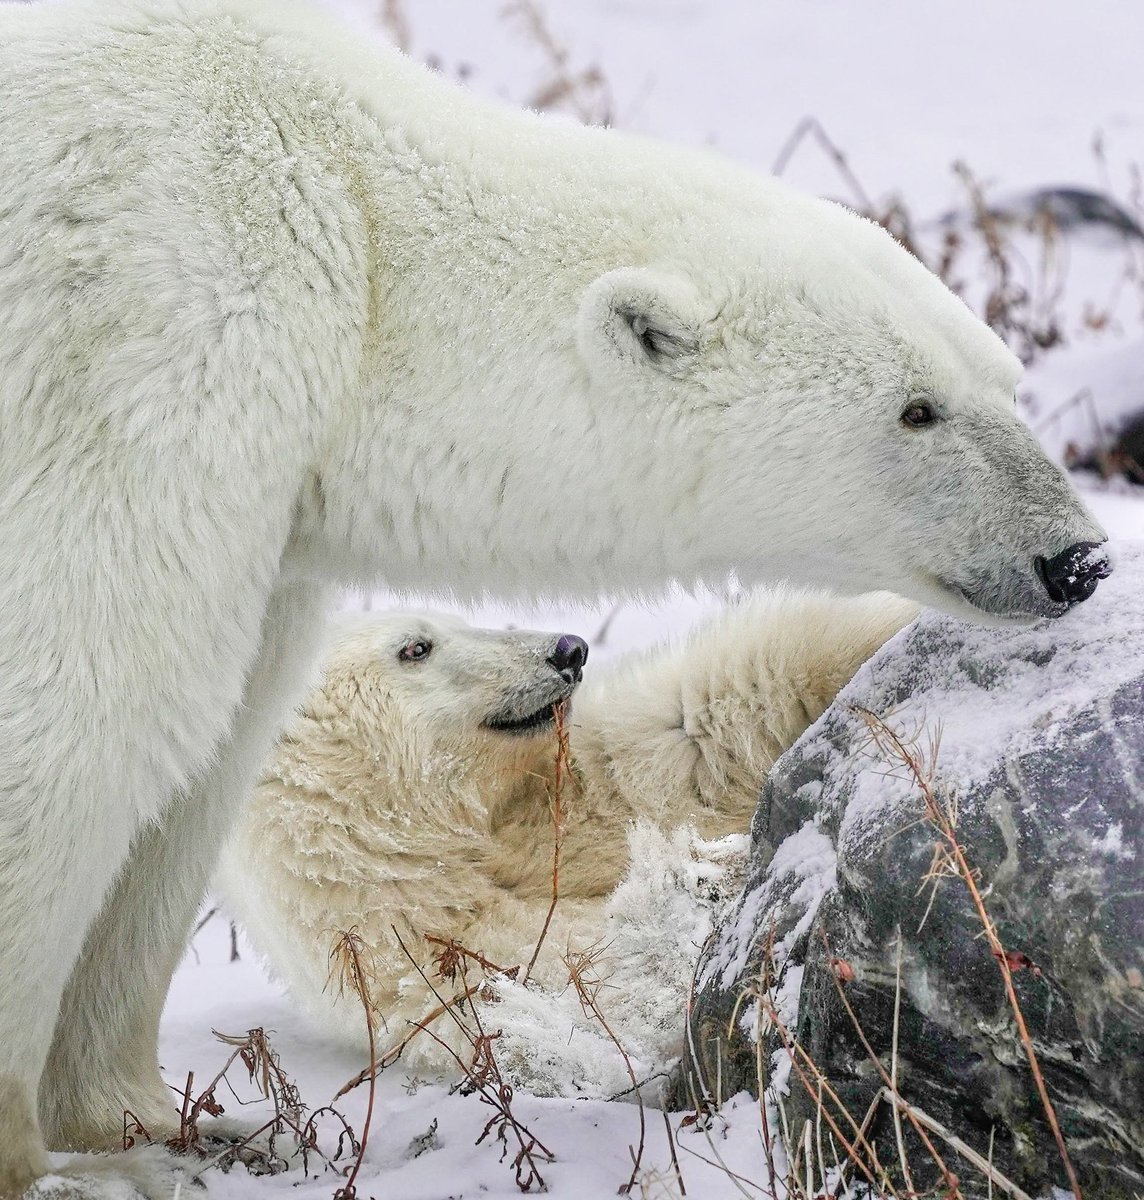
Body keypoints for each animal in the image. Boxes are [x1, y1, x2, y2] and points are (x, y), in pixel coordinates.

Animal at [216, 590, 919, 1095]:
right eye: (415, 647)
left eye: (454, 621)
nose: (569, 648)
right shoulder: (449, 969)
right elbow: (625, 993)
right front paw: (703, 874)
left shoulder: (562, 795)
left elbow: (693, 729)